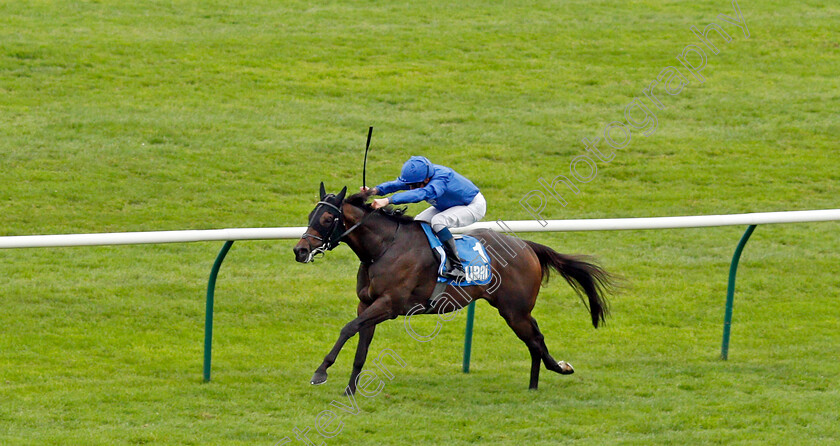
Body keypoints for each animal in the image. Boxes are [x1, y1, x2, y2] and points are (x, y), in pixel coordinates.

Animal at [292, 183, 612, 392]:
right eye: (309, 216)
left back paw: (558, 368)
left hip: (515, 310)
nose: (300, 250)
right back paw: (534, 384)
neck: (383, 247)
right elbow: (361, 345)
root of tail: (526, 245)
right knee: (533, 339)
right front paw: (350, 390)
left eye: (327, 218)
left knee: (535, 338)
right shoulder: (367, 304)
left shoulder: (390, 304)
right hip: (515, 311)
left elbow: (347, 328)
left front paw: (320, 372)